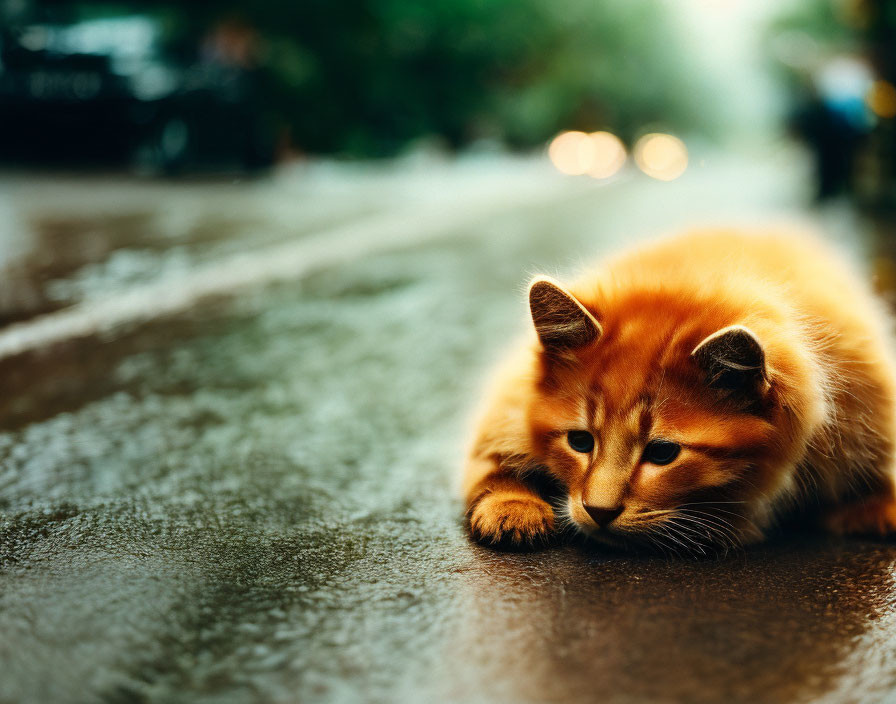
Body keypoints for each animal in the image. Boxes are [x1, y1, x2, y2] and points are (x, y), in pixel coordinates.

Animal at [462, 228, 896, 552]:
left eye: (662, 453)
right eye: (580, 442)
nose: (598, 511)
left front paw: (875, 507)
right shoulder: (510, 400)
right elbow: (491, 464)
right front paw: (513, 507)